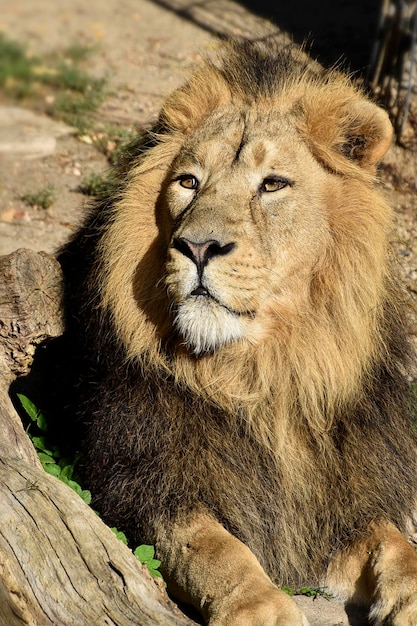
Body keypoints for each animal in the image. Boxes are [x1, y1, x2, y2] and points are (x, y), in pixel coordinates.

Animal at [58, 40, 416, 624]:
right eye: (188, 182)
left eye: (272, 184)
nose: (198, 246)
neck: (263, 376)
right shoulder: (146, 483)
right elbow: (216, 547)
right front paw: (262, 607)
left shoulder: (343, 508)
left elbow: (398, 545)